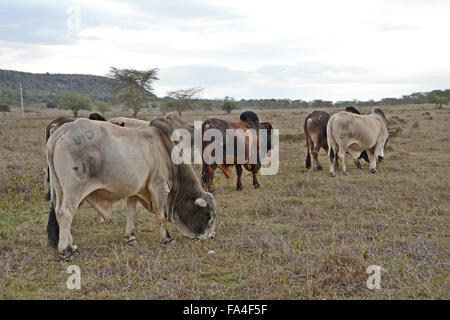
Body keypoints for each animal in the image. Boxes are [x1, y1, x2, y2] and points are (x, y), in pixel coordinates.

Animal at [46, 117, 216, 260]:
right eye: (208, 215)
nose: (212, 237)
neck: (166, 151)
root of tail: (63, 130)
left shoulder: (136, 191)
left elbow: (131, 213)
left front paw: (130, 237)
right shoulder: (159, 187)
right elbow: (162, 215)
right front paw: (167, 238)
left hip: (60, 189)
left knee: (58, 211)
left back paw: (72, 246)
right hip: (73, 190)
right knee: (66, 213)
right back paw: (65, 251)